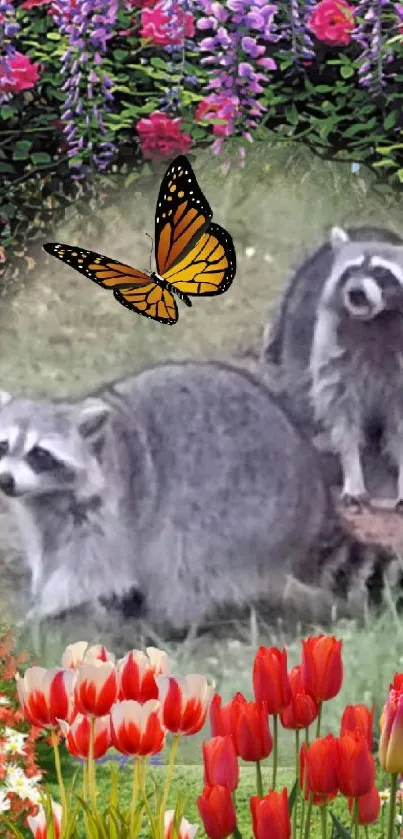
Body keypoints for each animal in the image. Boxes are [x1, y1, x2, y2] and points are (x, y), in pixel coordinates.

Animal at [0, 360, 398, 632]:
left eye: (39, 454)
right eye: (4, 445)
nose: (5, 481)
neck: (50, 492)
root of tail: (313, 500)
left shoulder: (113, 510)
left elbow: (92, 567)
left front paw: (45, 608)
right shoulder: (39, 510)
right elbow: (50, 549)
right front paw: (41, 590)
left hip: (240, 512)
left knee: (184, 557)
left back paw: (172, 623)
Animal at [262, 223, 403, 508]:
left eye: (381, 272)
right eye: (351, 270)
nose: (356, 292)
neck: (377, 321)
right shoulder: (332, 343)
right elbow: (341, 412)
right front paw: (352, 470)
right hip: (296, 318)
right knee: (301, 380)